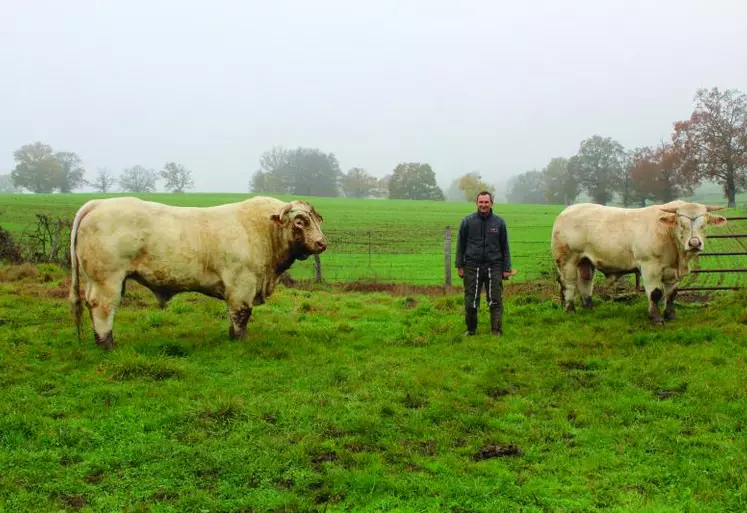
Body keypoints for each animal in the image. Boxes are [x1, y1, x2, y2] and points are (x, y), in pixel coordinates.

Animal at [69, 195, 328, 348]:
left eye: (317, 219)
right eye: (300, 221)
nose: (321, 243)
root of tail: (99, 203)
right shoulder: (241, 283)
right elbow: (241, 314)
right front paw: (240, 341)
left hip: (97, 278)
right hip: (107, 278)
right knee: (103, 306)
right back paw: (107, 343)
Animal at [552, 200, 728, 324]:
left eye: (704, 224)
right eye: (681, 224)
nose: (694, 243)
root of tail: (567, 210)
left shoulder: (672, 271)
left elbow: (672, 294)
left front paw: (671, 315)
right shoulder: (650, 267)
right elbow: (656, 293)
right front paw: (656, 318)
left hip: (586, 261)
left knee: (586, 282)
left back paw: (589, 308)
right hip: (567, 259)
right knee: (568, 284)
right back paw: (570, 310)